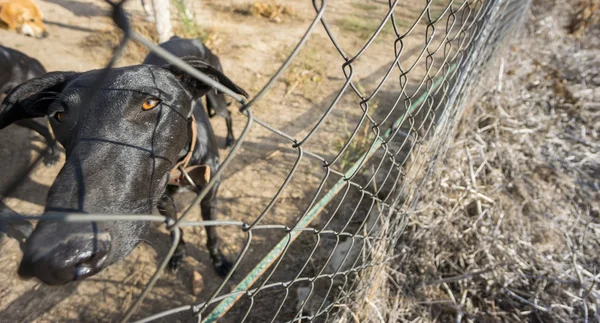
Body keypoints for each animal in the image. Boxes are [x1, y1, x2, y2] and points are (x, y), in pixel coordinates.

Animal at [0, 57, 247, 284]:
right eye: (58, 115)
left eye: (150, 103)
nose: (50, 258)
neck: (180, 167)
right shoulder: (163, 202)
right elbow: (175, 230)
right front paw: (177, 255)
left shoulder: (209, 195)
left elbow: (212, 233)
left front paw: (219, 260)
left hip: (219, 101)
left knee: (228, 114)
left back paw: (231, 138)